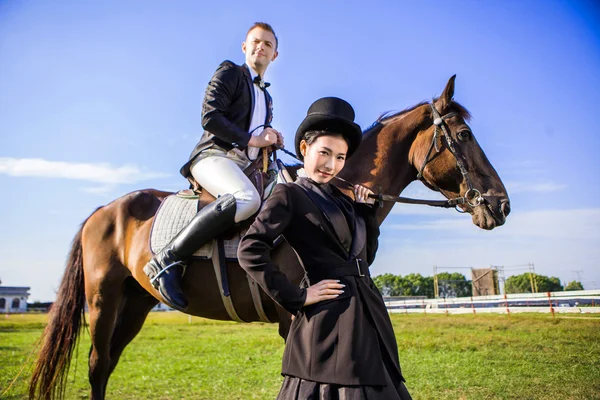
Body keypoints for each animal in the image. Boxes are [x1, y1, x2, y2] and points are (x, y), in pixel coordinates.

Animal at [28, 76, 510, 400]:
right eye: (464, 135)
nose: (501, 205)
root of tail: (102, 212)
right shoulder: (290, 315)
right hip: (103, 300)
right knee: (97, 366)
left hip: (136, 304)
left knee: (108, 364)